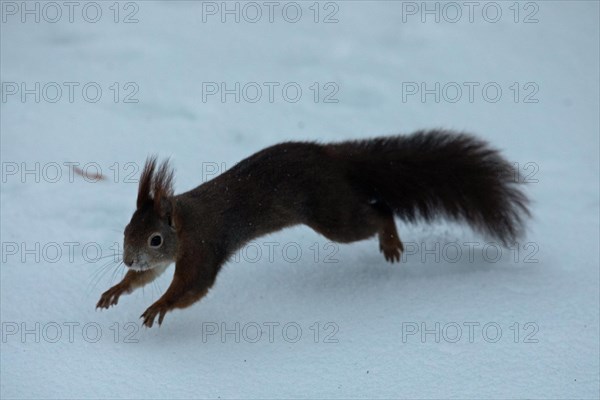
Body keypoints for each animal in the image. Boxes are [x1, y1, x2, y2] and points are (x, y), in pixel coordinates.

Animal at [97, 130, 528, 326]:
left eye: (155, 238)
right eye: (126, 231)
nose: (128, 259)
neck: (183, 225)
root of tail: (331, 156)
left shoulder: (203, 248)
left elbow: (191, 287)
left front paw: (159, 305)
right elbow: (149, 276)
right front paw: (118, 288)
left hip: (333, 214)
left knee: (380, 211)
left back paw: (390, 240)